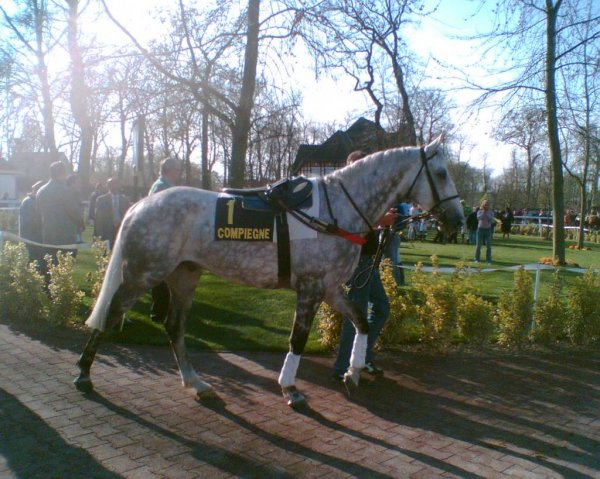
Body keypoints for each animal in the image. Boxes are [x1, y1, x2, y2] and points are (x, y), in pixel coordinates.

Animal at [72, 136, 462, 408]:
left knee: (174, 327)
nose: (457, 219)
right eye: (441, 173)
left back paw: (196, 383)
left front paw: (353, 373)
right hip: (143, 274)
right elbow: (297, 340)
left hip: (184, 276)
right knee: (110, 314)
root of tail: (140, 204)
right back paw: (83, 374)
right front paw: (291, 388)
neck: (336, 210)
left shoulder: (330, 287)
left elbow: (362, 322)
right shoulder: (310, 289)